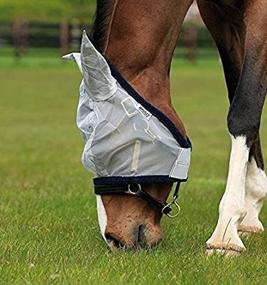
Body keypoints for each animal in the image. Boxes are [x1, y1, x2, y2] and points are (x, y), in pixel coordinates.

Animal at [68, 0, 267, 253]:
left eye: (113, 150)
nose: (113, 238)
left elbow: (244, 108)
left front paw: (225, 234)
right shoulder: (219, 19)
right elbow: (239, 94)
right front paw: (250, 214)